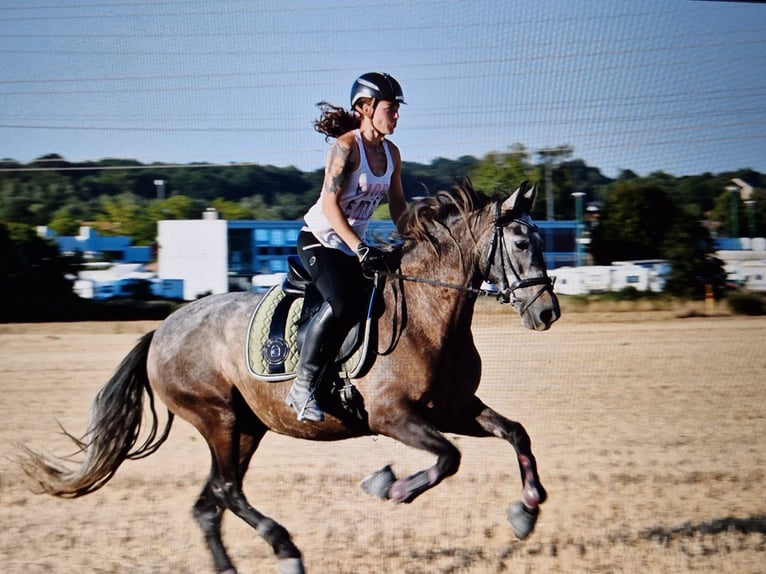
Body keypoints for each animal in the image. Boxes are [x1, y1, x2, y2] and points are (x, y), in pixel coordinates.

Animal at [18, 181, 560, 574]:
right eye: (520, 241)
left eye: (542, 239)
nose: (547, 312)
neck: (429, 313)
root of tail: (160, 331)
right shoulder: (392, 417)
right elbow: (448, 458)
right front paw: (387, 485)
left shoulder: (452, 408)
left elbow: (516, 433)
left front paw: (527, 511)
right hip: (218, 418)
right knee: (227, 492)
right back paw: (286, 550)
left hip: (245, 428)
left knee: (210, 501)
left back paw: (232, 567)